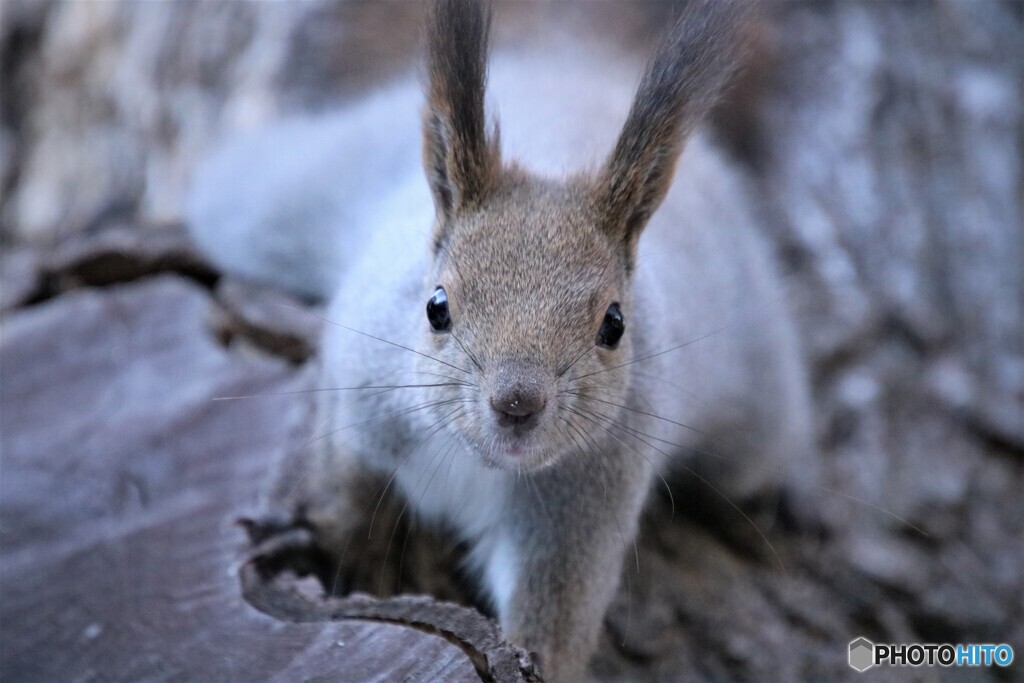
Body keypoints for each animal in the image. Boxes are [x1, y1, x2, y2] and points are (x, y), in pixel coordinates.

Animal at [188, 1, 819, 679]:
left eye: (615, 324)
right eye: (436, 307)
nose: (517, 403)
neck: (476, 460)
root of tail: (574, 73)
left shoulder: (582, 503)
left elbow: (556, 609)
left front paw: (533, 659)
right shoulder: (362, 391)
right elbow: (346, 482)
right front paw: (312, 534)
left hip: (754, 404)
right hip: (279, 205)